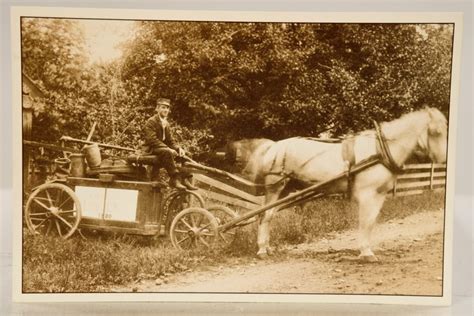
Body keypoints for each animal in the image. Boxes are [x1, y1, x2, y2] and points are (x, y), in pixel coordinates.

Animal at [244, 107, 448, 260]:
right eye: (436, 132)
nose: (444, 159)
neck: (380, 150)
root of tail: (274, 146)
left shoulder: (379, 195)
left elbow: (371, 222)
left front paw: (366, 249)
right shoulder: (367, 195)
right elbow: (365, 222)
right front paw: (366, 253)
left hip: (284, 190)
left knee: (268, 215)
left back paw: (267, 248)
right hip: (274, 188)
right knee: (265, 216)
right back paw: (262, 250)